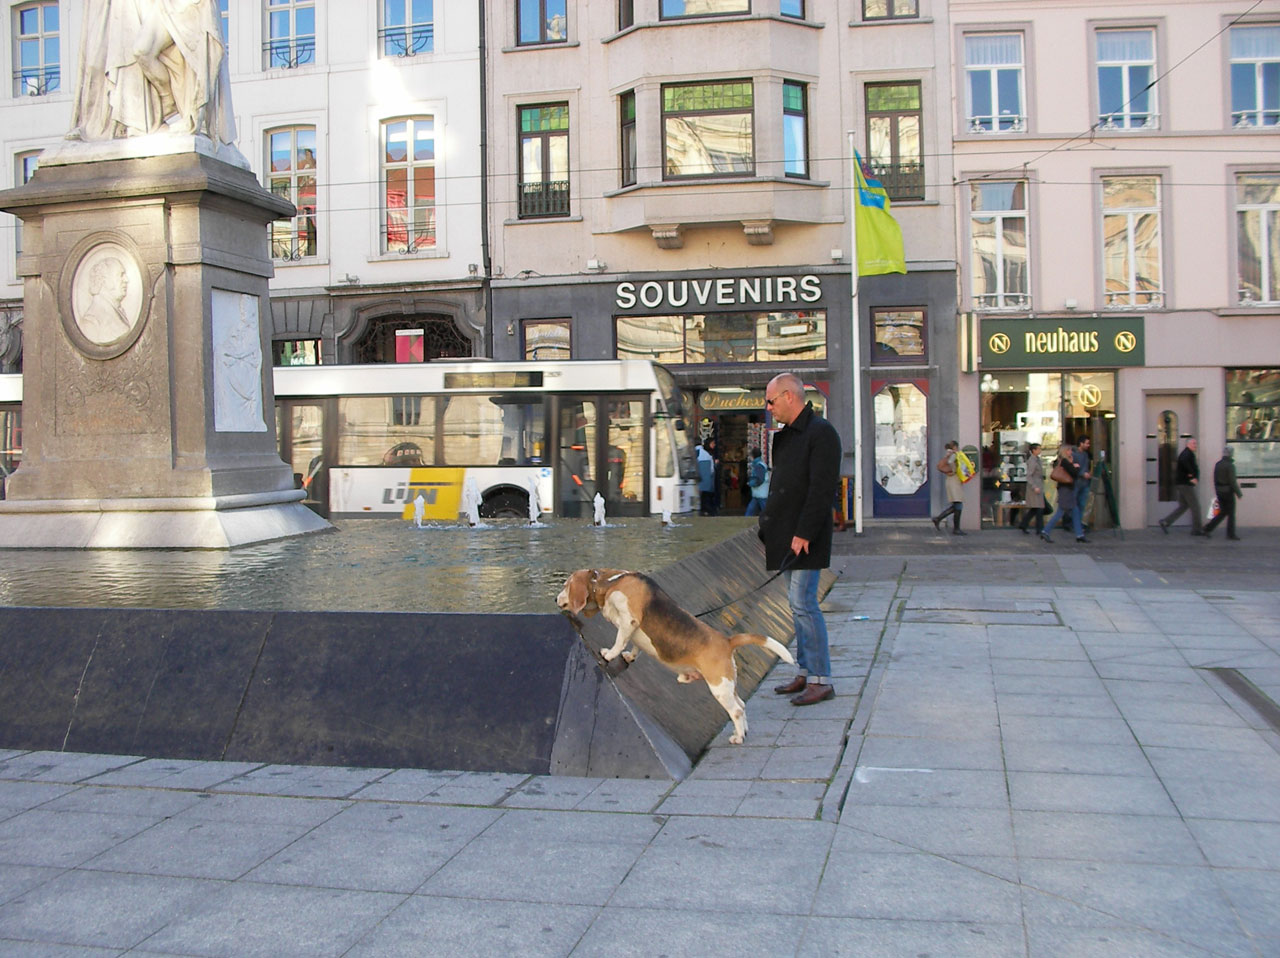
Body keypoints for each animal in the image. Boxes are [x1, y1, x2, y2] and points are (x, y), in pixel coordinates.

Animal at [558, 566, 793, 742]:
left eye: (565, 586)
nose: (555, 599)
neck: (608, 582)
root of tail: (727, 641)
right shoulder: (633, 630)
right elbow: (635, 645)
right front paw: (629, 656)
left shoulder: (629, 620)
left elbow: (619, 640)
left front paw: (609, 654)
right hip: (729, 684)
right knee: (742, 705)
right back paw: (742, 731)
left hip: (719, 687)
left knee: (735, 710)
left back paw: (737, 738)